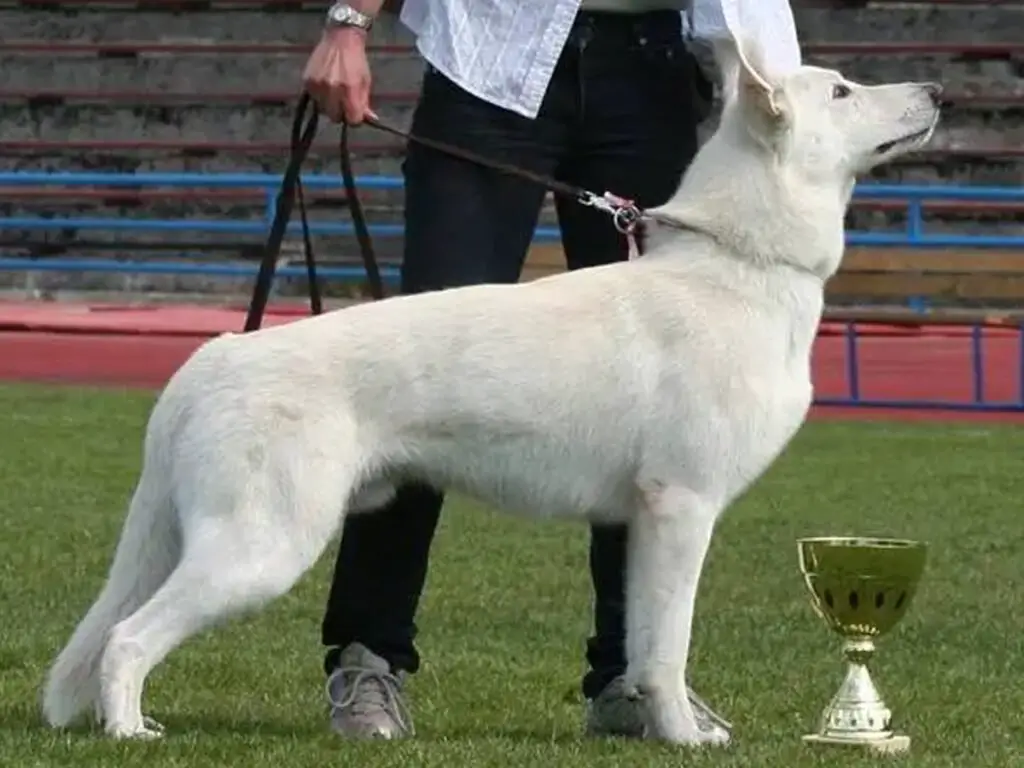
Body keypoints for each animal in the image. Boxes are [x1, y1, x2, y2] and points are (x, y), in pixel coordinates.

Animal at [39, 40, 937, 745]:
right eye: (842, 91)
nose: (935, 90)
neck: (740, 263)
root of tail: (213, 357)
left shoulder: (645, 524)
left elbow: (643, 645)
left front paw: (654, 723)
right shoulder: (684, 510)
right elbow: (670, 647)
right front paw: (684, 738)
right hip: (261, 549)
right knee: (126, 638)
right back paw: (129, 730)